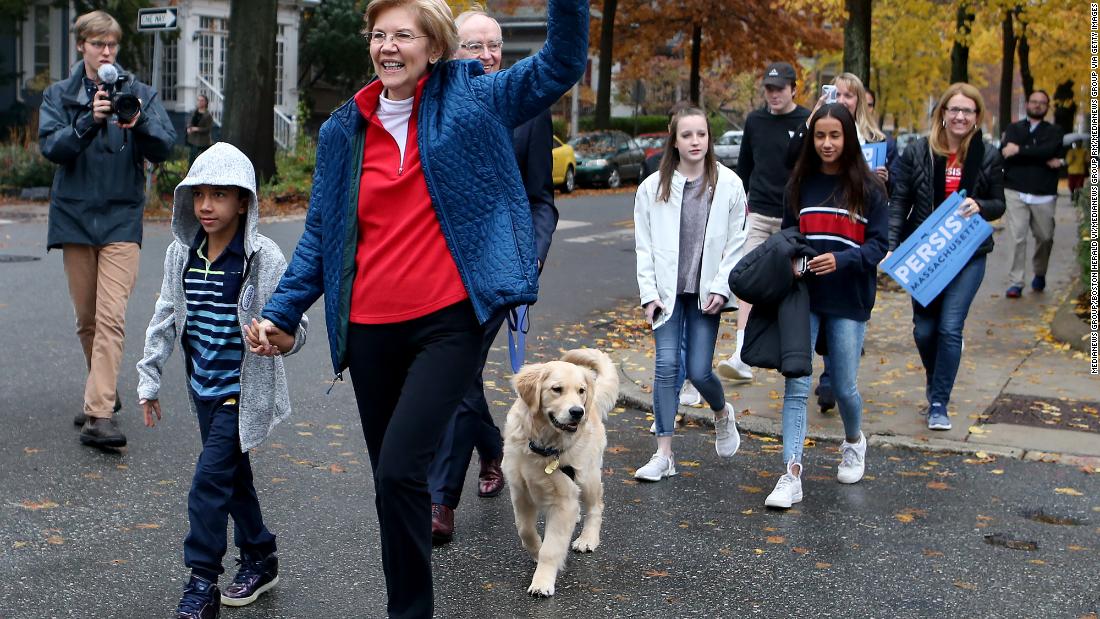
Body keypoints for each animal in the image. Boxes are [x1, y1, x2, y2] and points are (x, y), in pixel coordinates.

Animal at [501, 349, 616, 593]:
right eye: (557, 389)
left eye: (581, 391)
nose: (578, 412)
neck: (542, 446)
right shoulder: (520, 491)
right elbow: (525, 530)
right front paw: (536, 551)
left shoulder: (563, 500)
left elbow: (551, 548)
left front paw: (542, 581)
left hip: (587, 476)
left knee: (596, 506)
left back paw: (588, 539)